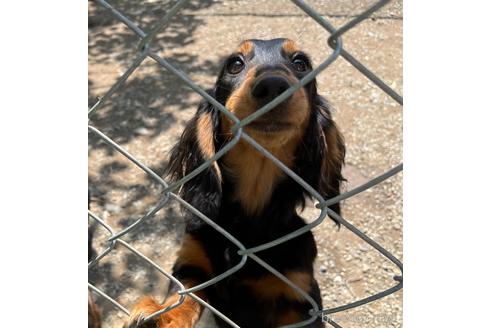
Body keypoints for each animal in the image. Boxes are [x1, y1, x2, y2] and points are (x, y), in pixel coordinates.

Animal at [125, 39, 344, 328]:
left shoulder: (301, 296)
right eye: (235, 64)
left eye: (301, 63)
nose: (272, 85)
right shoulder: (192, 262)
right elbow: (182, 296)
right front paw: (160, 315)